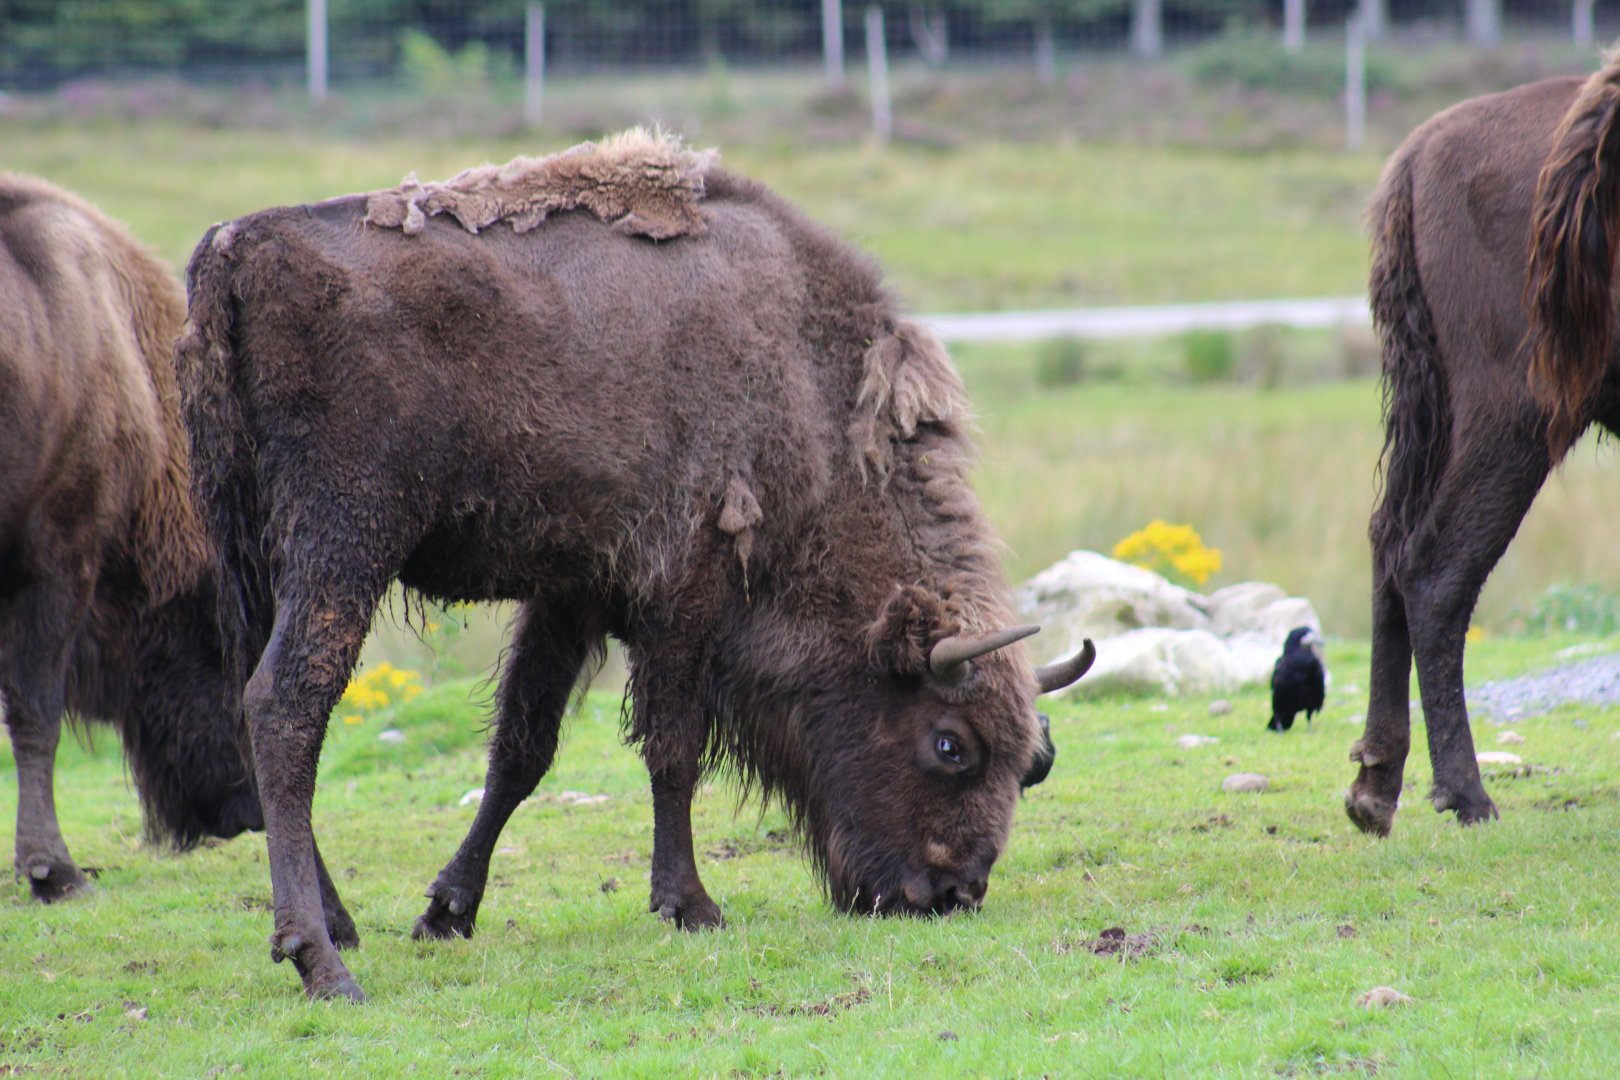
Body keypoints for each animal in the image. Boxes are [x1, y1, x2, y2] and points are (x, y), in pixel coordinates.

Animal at [176, 131, 1095, 1001]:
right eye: (950, 745)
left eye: (1034, 765)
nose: (950, 894)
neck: (804, 388)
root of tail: (239, 248)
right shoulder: (682, 590)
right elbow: (672, 748)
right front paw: (692, 905)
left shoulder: (571, 593)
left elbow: (522, 749)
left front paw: (448, 910)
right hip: (342, 546)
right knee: (287, 705)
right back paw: (320, 960)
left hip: (253, 555)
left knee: (252, 705)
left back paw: (339, 920)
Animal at [1348, 56, 1620, 836]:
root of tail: (1416, 158)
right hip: (1515, 414)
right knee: (1437, 569)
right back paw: (1467, 797)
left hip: (1440, 411)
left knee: (1390, 541)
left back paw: (1374, 789)